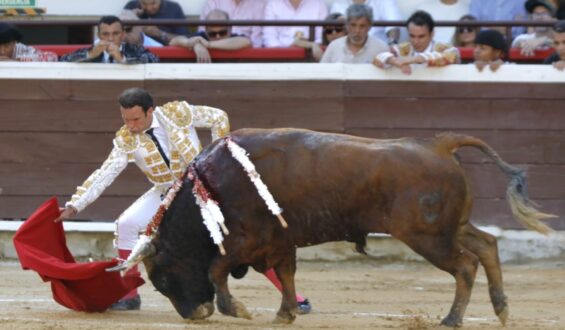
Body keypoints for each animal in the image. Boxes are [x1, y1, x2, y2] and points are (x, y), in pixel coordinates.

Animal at [138, 127, 556, 326]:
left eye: (161, 279)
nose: (194, 314)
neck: (212, 184)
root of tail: (438, 144)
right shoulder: (279, 241)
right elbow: (286, 275)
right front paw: (285, 313)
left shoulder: (247, 239)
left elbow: (216, 267)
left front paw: (236, 308)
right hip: (450, 227)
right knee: (487, 245)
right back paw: (501, 308)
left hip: (428, 237)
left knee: (466, 264)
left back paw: (452, 319)